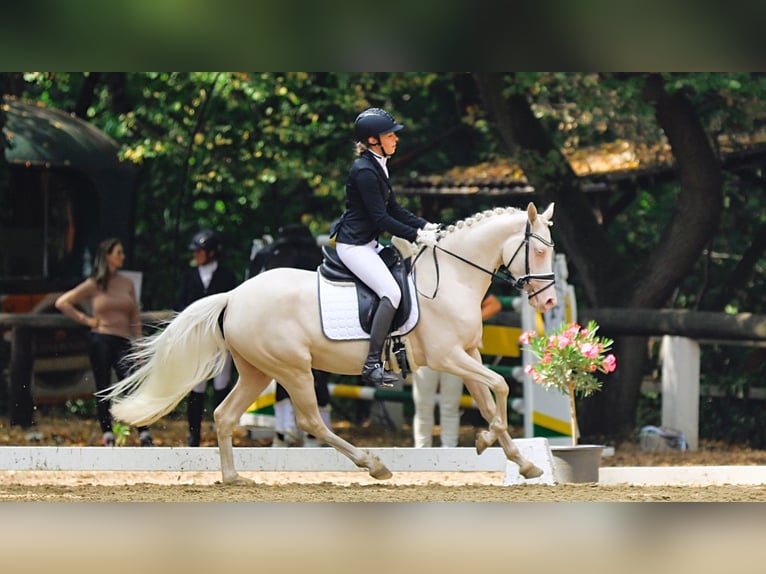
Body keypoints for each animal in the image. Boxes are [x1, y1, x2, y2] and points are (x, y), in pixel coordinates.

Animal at [106, 205, 560, 484]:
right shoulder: (447, 357)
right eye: (538, 251)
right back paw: (372, 465)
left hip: (257, 371)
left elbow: (487, 398)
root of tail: (234, 296)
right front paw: (492, 443)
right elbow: (500, 387)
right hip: (292, 369)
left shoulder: (468, 355)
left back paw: (233, 478)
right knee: (310, 420)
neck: (451, 278)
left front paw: (521, 461)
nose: (550, 303)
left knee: (224, 415)